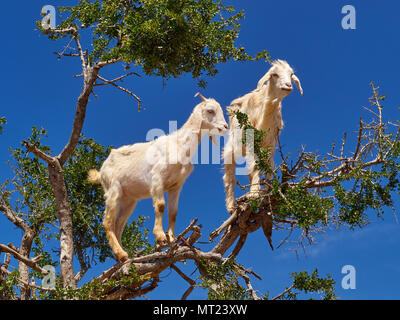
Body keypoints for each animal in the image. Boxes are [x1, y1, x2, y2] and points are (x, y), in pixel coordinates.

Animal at [89, 93, 230, 262]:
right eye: (210, 110)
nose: (225, 127)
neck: (179, 145)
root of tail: (101, 171)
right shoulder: (157, 179)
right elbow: (161, 206)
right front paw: (161, 237)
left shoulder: (177, 185)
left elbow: (173, 212)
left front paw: (173, 240)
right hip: (112, 190)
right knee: (108, 222)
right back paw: (121, 254)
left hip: (129, 199)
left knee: (119, 224)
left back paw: (123, 257)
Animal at [222, 60, 304, 212]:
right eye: (274, 74)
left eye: (291, 74)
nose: (288, 85)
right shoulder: (250, 140)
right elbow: (255, 166)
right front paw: (255, 194)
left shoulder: (271, 142)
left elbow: (268, 165)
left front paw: (266, 190)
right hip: (232, 147)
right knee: (229, 176)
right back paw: (231, 205)